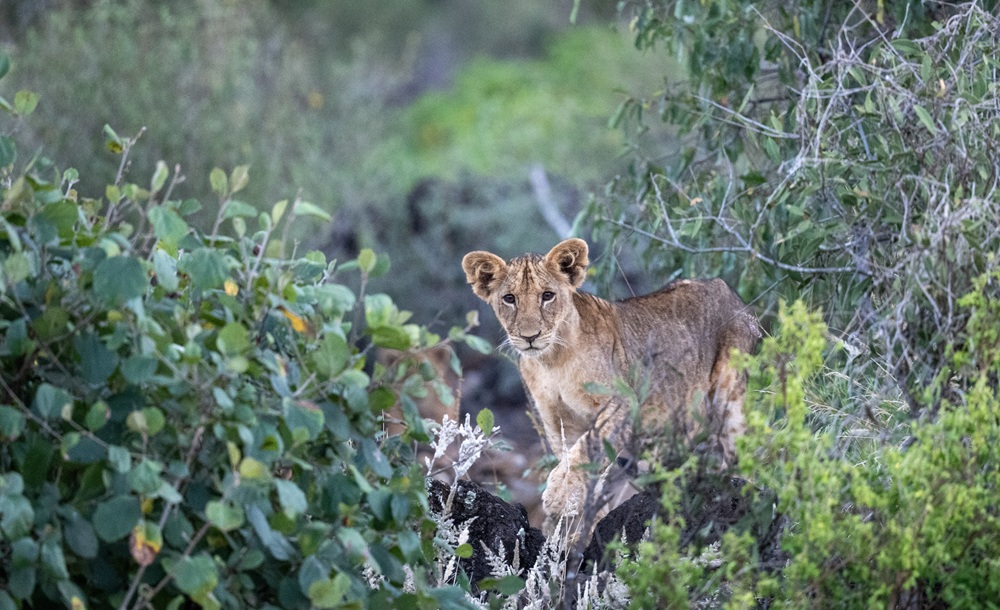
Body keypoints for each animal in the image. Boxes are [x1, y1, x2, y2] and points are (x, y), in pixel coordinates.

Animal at [461, 238, 759, 526]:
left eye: (547, 296)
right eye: (509, 299)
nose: (529, 336)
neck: (552, 361)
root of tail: (726, 288)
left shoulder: (621, 404)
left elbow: (583, 452)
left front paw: (558, 495)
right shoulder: (557, 422)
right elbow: (577, 460)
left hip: (730, 394)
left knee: (745, 454)